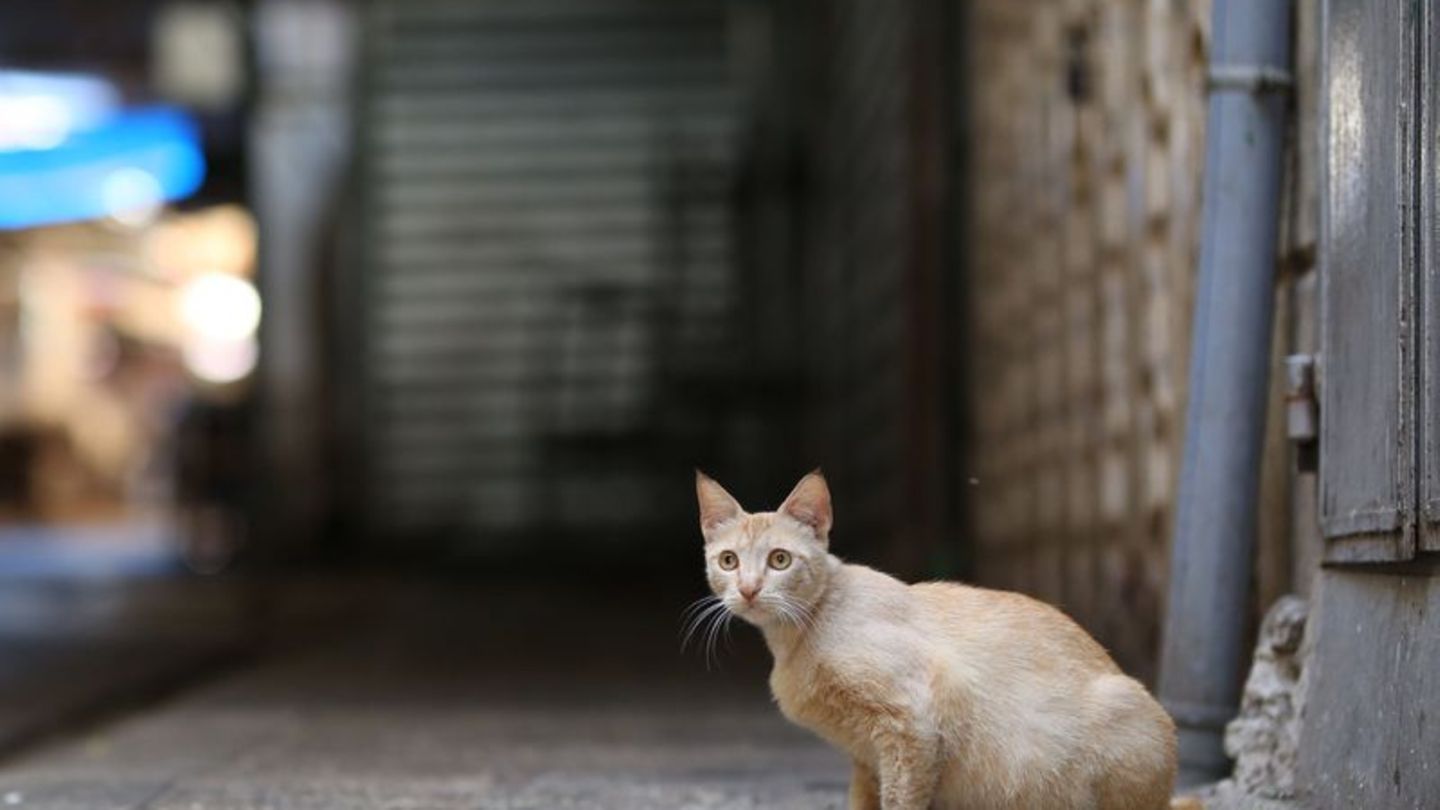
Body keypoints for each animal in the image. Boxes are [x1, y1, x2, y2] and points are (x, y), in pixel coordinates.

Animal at [696, 469, 1180, 807]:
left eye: (779, 560)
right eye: (728, 560)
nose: (749, 589)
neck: (797, 635)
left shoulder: (914, 723)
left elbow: (900, 800)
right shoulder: (867, 755)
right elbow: (865, 801)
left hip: (1122, 712)